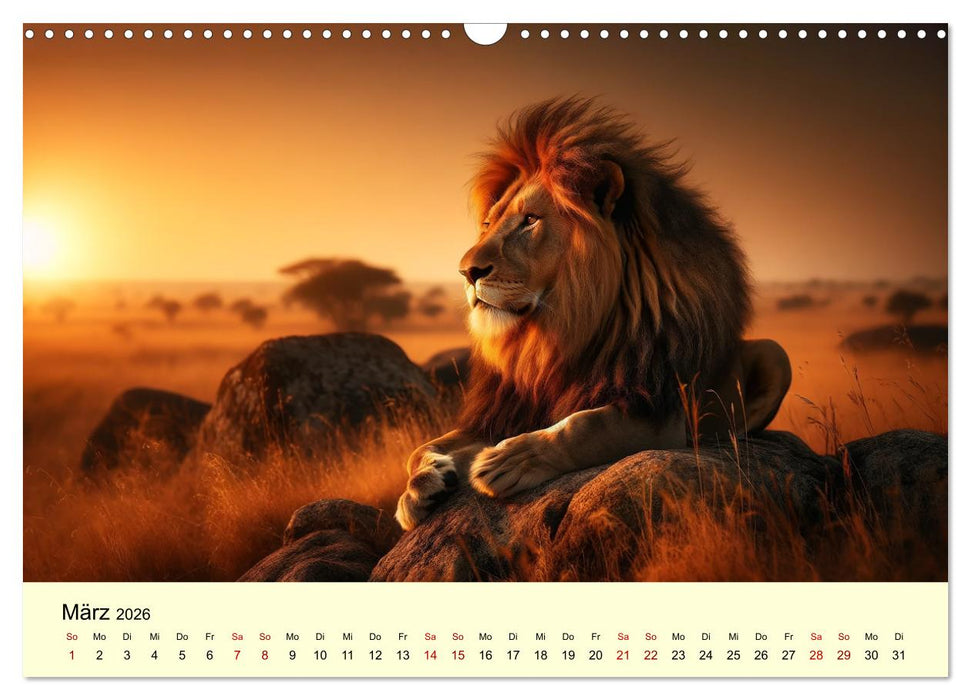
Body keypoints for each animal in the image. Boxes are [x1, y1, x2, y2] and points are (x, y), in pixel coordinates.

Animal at [395, 97, 792, 530]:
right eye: (488, 223)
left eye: (530, 220)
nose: (467, 272)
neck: (556, 335)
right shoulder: (506, 410)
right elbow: (423, 446)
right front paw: (421, 485)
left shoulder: (661, 412)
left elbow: (586, 424)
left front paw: (508, 460)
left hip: (774, 354)